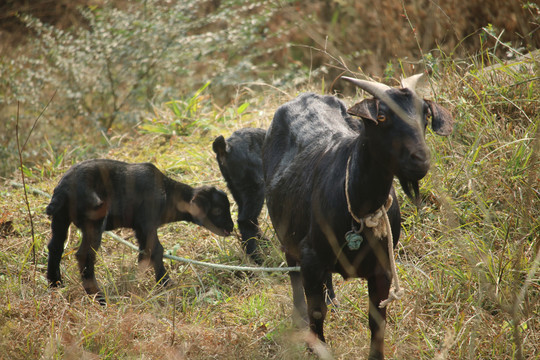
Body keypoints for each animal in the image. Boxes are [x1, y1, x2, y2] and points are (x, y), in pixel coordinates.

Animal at [46, 159, 232, 302]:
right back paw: (99, 298)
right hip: (94, 219)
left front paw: (140, 278)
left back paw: (55, 283)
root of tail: (63, 190)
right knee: (85, 254)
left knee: (55, 247)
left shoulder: (140, 228)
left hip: (60, 218)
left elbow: (144, 252)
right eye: (217, 210)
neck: (168, 195)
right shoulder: (148, 222)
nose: (231, 227)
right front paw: (165, 283)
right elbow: (157, 250)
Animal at [262, 74, 452, 358]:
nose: (420, 160)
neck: (358, 205)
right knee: (294, 275)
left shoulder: (383, 268)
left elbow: (377, 319)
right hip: (287, 236)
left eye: (425, 115)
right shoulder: (310, 258)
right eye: (382, 116)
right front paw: (316, 348)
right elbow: (316, 312)